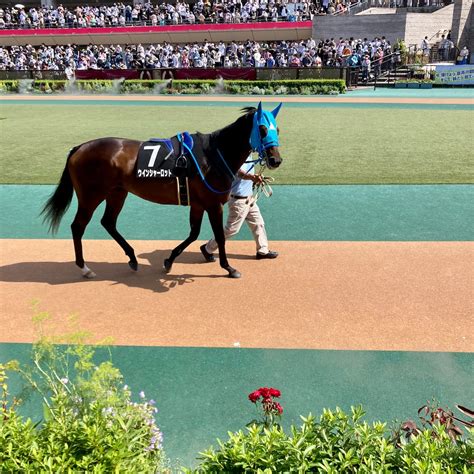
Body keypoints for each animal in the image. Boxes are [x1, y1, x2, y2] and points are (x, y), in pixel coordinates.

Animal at [40, 103, 282, 278]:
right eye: (262, 129)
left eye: (277, 129)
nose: (276, 160)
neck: (212, 155)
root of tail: (79, 147)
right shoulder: (213, 204)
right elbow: (220, 236)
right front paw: (229, 268)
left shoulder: (198, 203)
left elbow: (193, 233)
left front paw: (169, 260)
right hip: (91, 195)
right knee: (78, 226)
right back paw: (85, 268)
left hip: (117, 193)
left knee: (108, 222)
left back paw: (132, 258)